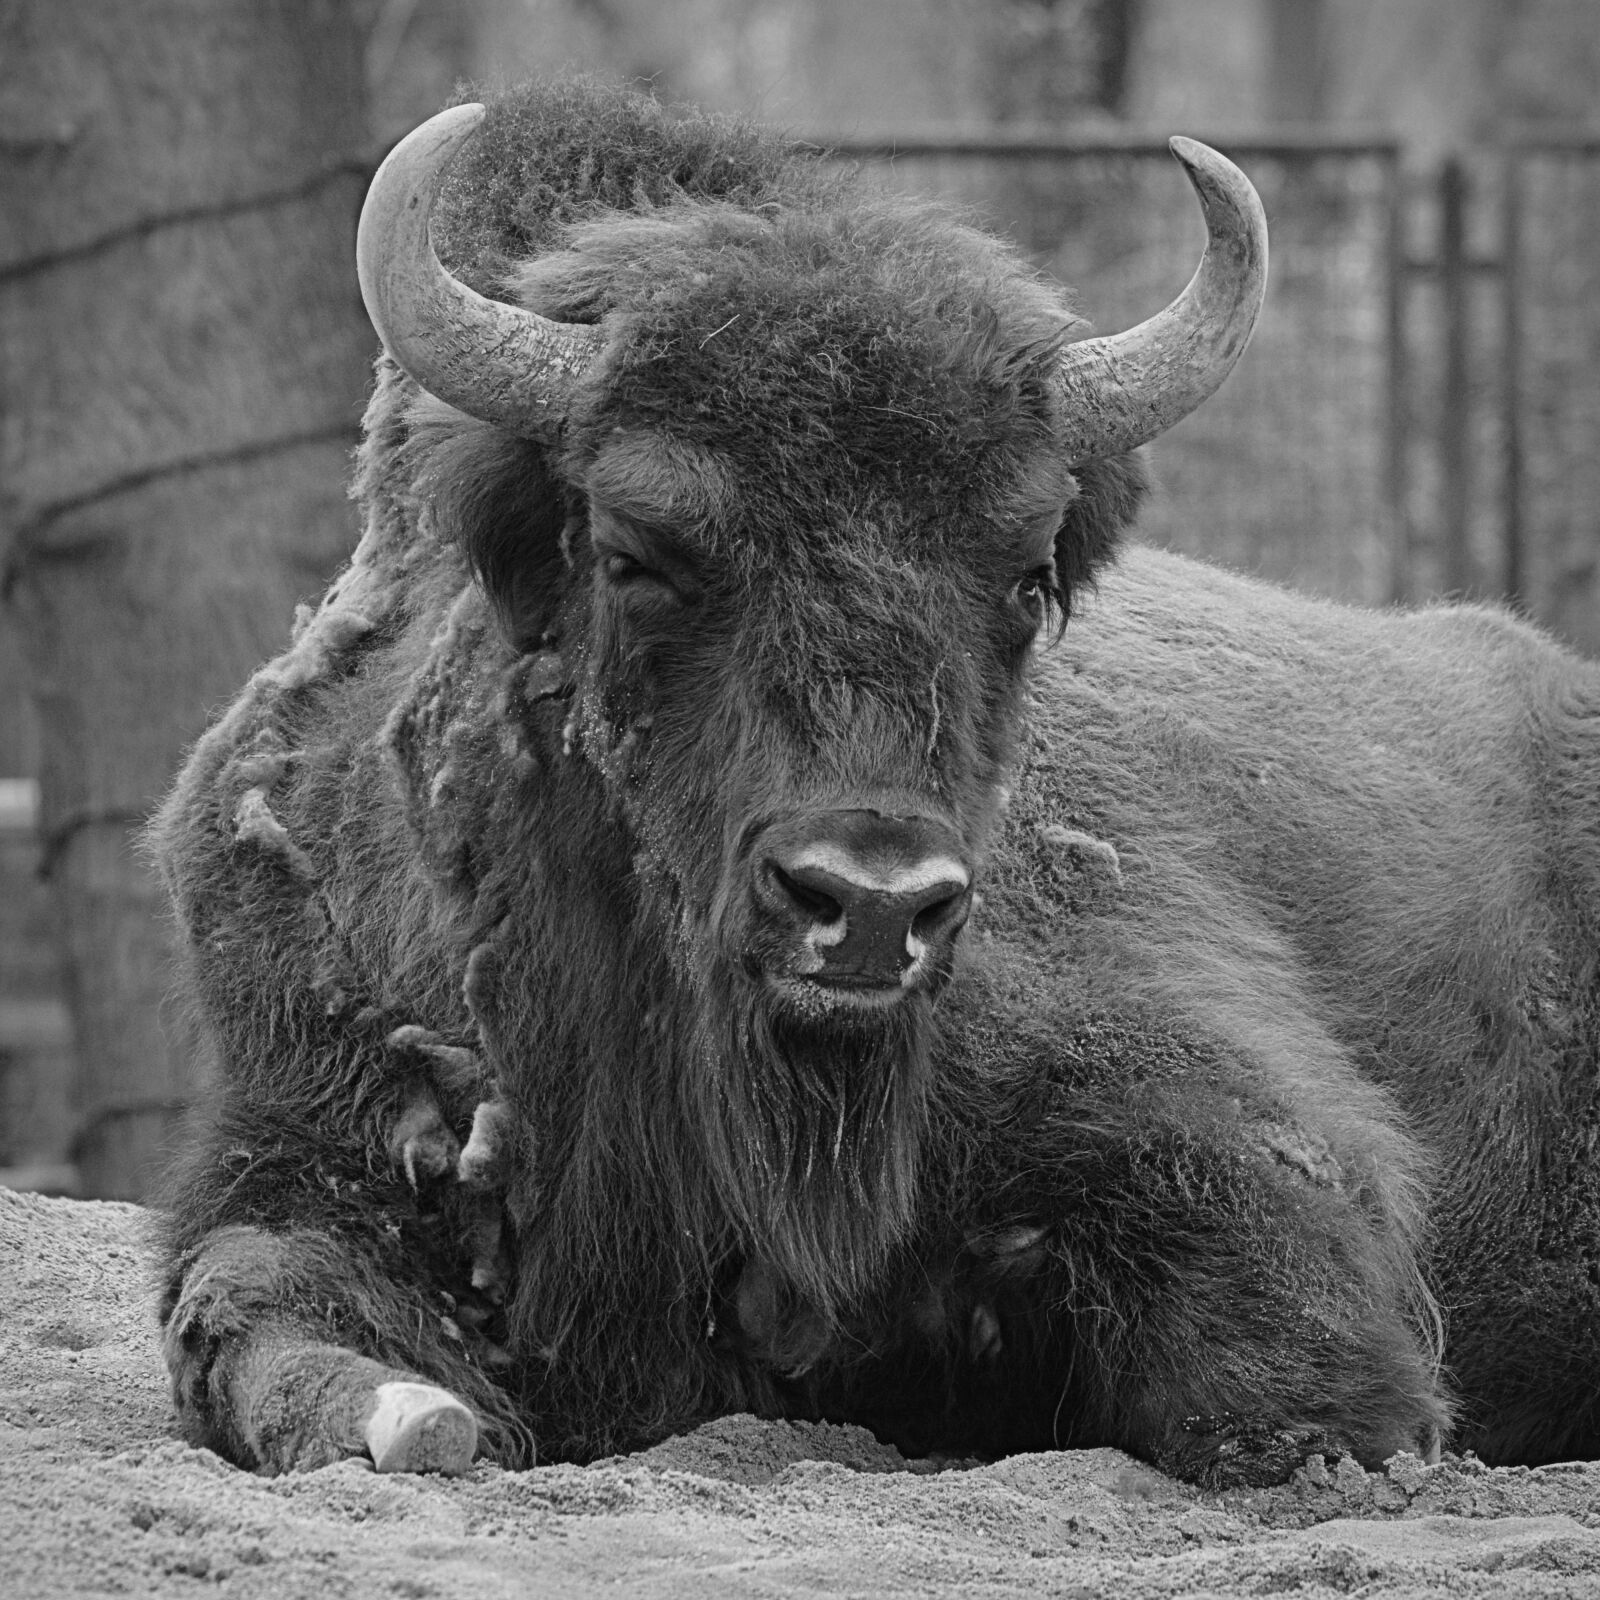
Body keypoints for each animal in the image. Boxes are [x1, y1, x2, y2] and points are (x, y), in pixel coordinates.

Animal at [153, 80, 1600, 1487]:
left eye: (1024, 573)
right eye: (636, 551)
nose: (872, 903)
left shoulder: (1190, 1093)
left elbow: (1287, 1358)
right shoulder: (315, 1113)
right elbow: (251, 1300)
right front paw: (407, 1415)